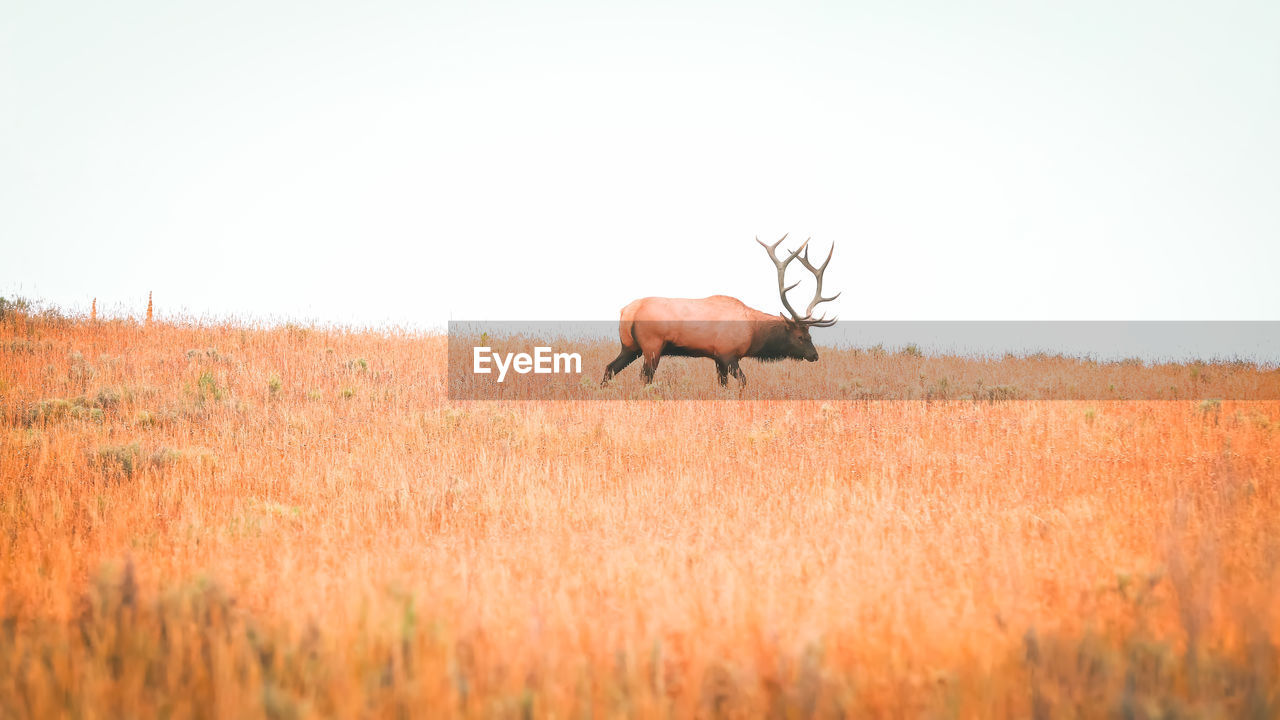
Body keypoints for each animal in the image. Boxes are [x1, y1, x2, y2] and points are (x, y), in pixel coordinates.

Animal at [604, 235, 844, 386]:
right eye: (801, 336)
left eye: (810, 335)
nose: (814, 355)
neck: (754, 335)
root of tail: (627, 312)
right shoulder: (728, 354)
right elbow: (743, 381)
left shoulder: (718, 358)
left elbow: (723, 385)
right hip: (652, 345)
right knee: (645, 377)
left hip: (630, 346)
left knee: (609, 368)